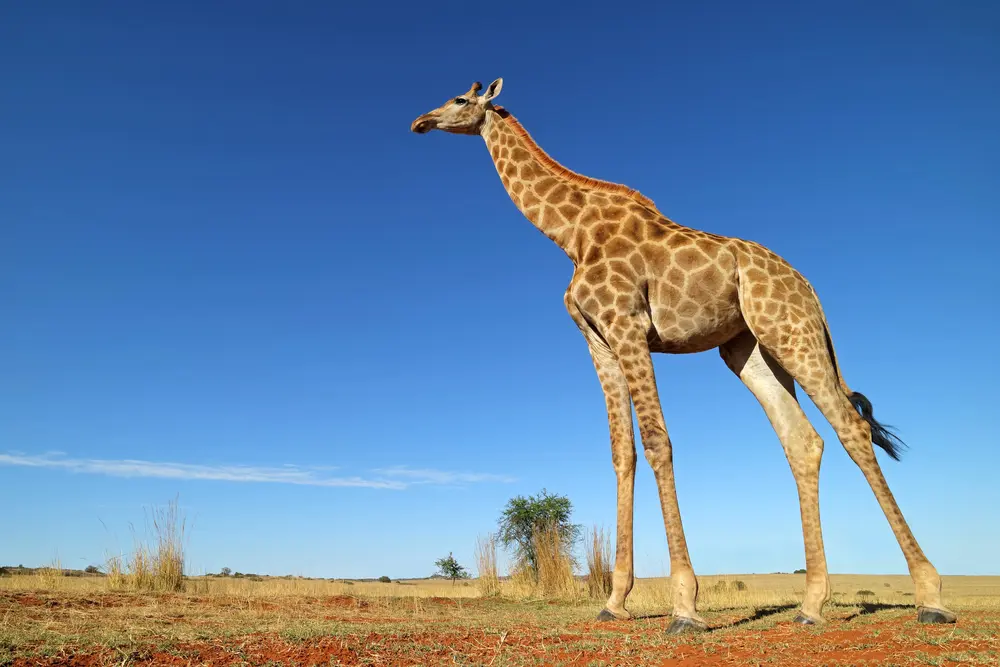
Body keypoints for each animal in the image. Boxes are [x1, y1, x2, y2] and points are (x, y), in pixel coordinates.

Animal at [410, 79, 956, 634]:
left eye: (460, 100)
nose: (420, 122)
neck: (572, 234)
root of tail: (810, 290)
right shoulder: (598, 339)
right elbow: (622, 452)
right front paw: (615, 600)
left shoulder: (628, 326)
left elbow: (657, 442)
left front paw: (685, 606)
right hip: (749, 349)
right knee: (803, 441)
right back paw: (811, 605)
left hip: (791, 332)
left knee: (851, 428)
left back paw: (931, 596)